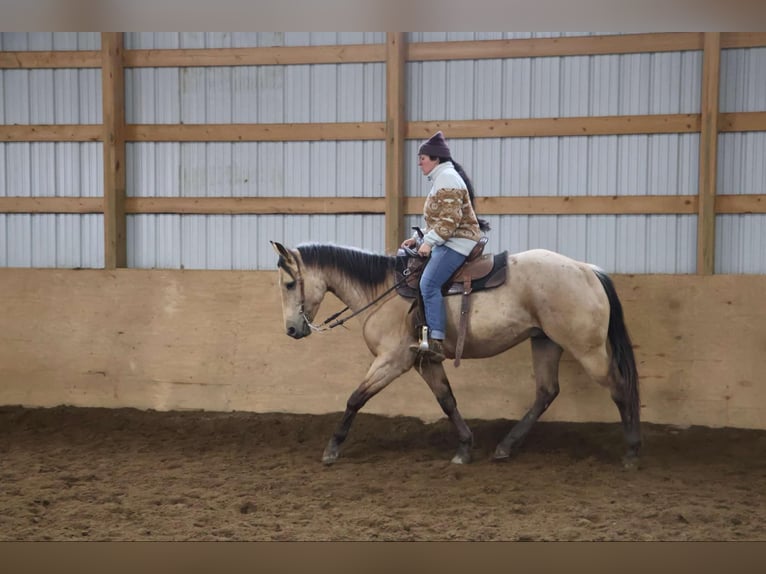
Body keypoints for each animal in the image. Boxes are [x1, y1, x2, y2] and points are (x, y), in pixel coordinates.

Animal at [271, 241, 641, 469]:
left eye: (289, 284)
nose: (291, 329)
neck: (384, 291)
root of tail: (587, 270)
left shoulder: (392, 361)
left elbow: (355, 398)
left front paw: (332, 449)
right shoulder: (424, 361)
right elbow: (447, 401)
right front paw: (464, 447)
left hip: (587, 349)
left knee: (620, 388)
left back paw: (632, 451)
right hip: (545, 342)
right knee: (546, 392)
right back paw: (505, 447)